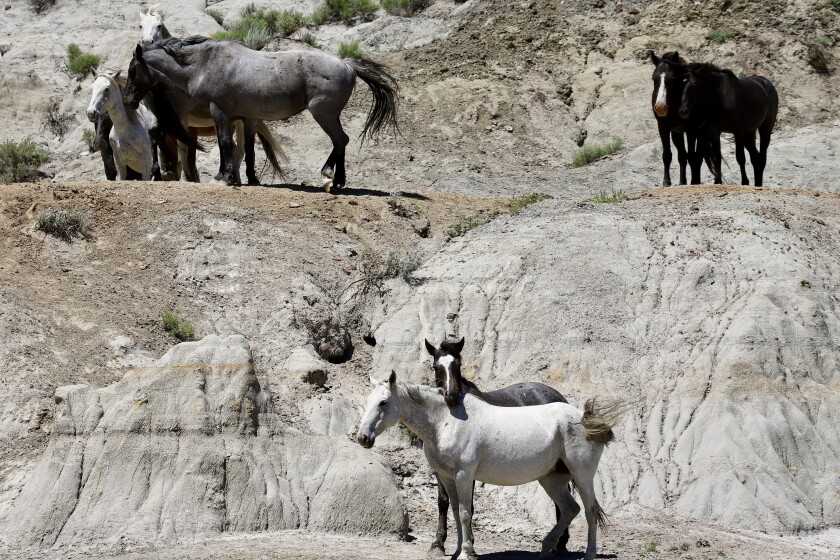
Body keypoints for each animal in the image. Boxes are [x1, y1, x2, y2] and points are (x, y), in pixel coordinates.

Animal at [123, 36, 398, 189]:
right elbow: (247, 149)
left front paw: (223, 177)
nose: (128, 100)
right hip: (331, 116)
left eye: (133, 69)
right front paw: (242, 178)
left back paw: (328, 176)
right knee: (342, 141)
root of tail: (347, 64)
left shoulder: (219, 111)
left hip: (324, 115)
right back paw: (338, 179)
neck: (204, 63)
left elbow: (225, 143)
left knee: (340, 139)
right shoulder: (246, 118)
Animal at [357, 372, 622, 560]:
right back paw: (546, 548)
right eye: (368, 401)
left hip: (581, 475)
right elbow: (455, 512)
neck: (445, 422)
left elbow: (465, 513)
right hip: (551, 479)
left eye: (383, 402)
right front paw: (457, 550)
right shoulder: (447, 477)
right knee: (570, 509)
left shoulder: (464, 475)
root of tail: (584, 419)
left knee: (589, 510)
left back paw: (589, 554)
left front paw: (466, 553)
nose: (363, 438)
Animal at [424, 337, 571, 556]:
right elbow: (443, 501)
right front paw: (438, 544)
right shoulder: (440, 469)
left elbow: (468, 504)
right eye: (436, 367)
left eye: (458, 364)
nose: (451, 395)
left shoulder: (467, 470)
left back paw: (561, 543)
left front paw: (470, 544)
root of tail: (558, 397)